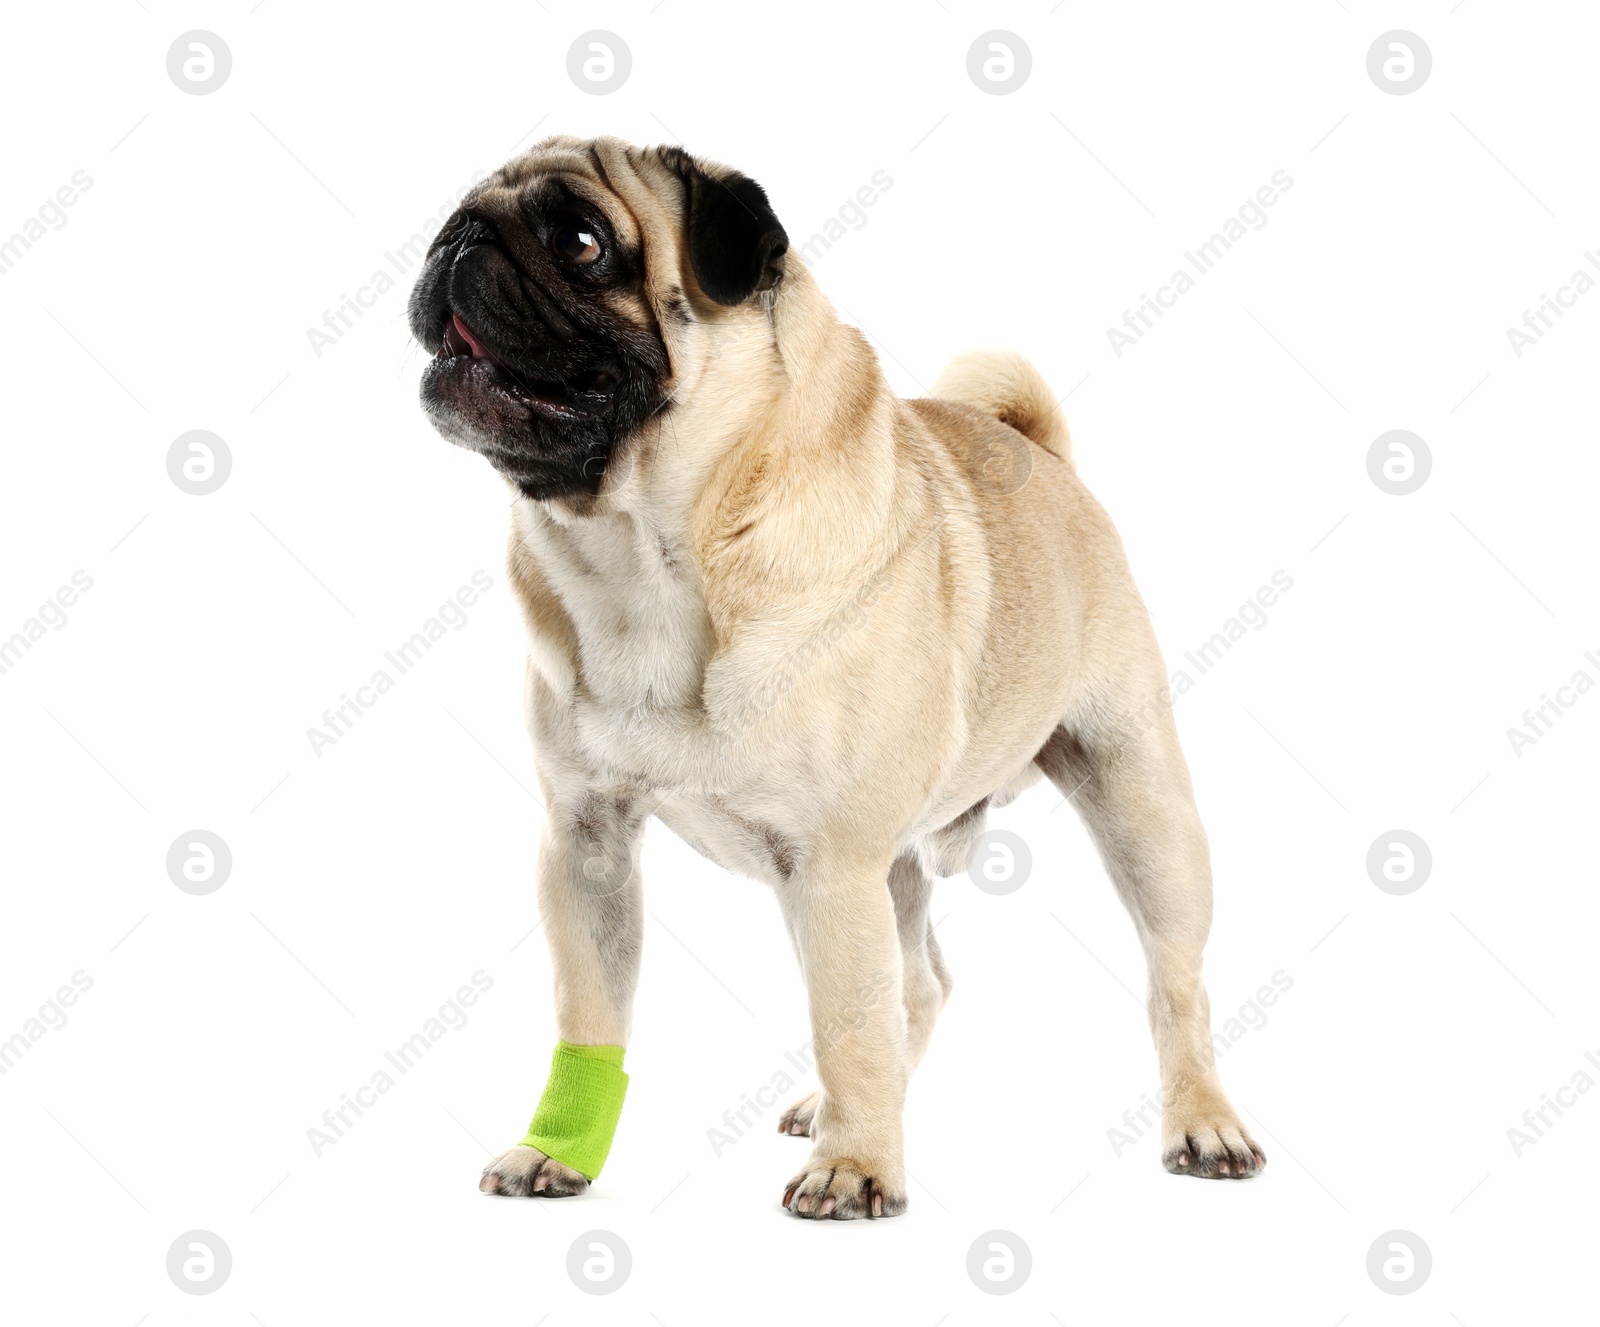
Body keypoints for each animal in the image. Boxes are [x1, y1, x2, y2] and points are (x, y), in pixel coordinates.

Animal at [409, 136, 1260, 1222]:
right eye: (458, 214)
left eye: (582, 242)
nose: (457, 238)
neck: (646, 551)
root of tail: (1042, 453)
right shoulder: (588, 846)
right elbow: (593, 1015)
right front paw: (558, 1147)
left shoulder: (832, 863)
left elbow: (848, 1022)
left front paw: (856, 1169)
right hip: (873, 870)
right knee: (919, 985)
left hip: (1135, 800)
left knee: (1172, 982)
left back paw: (1202, 1122)